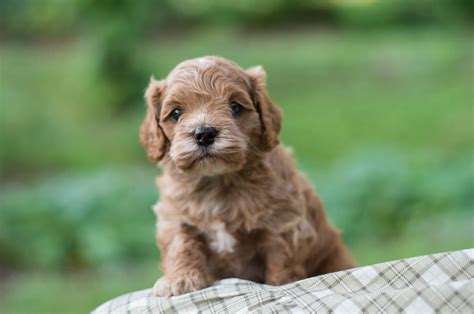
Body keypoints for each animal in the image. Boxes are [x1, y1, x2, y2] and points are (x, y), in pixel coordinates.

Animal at [139, 55, 354, 296]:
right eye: (176, 113)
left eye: (235, 107)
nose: (204, 133)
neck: (219, 181)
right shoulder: (174, 215)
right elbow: (180, 243)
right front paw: (179, 280)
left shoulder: (283, 222)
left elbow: (282, 261)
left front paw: (281, 285)